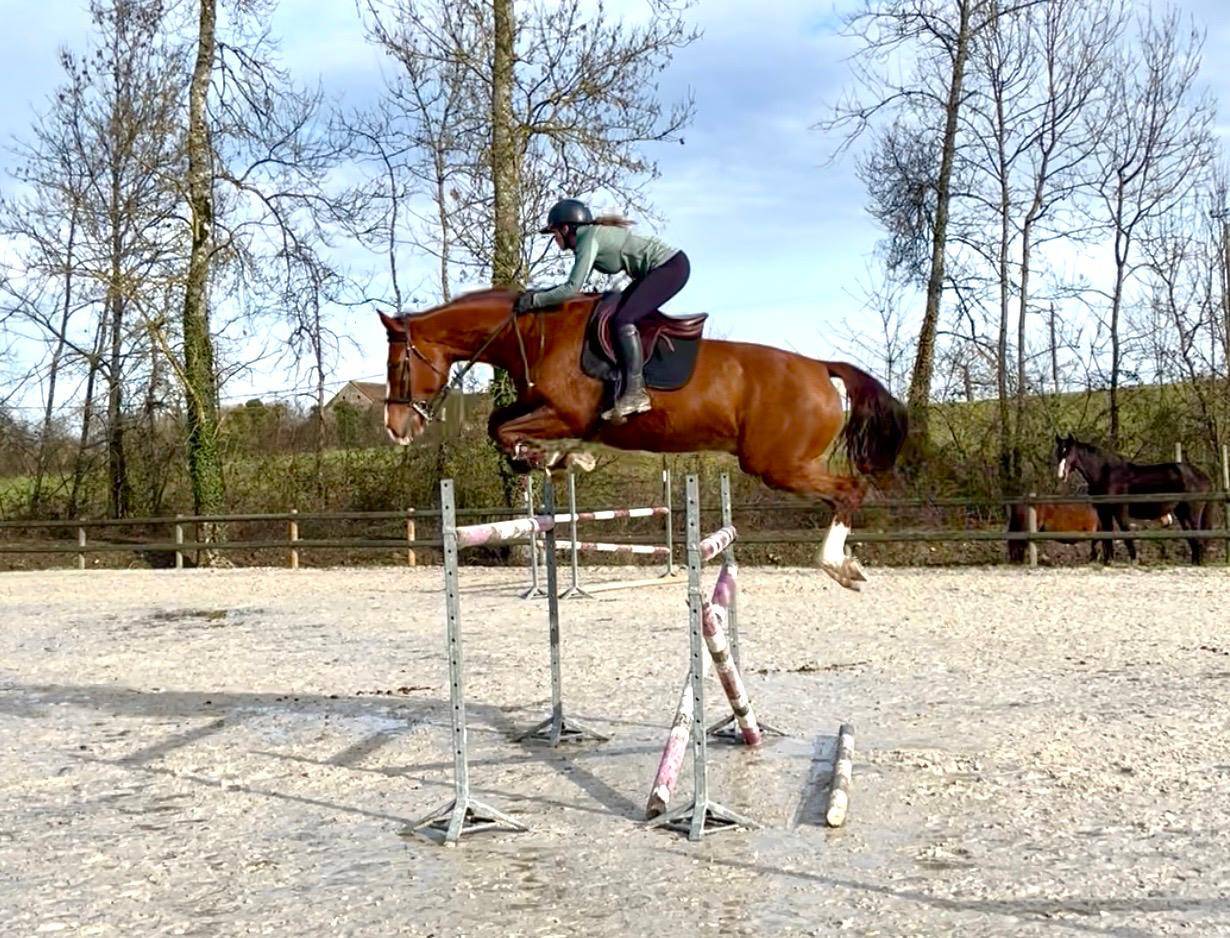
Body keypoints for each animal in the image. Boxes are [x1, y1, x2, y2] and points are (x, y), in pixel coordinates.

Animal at [379, 289, 908, 590]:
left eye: (398, 364)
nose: (396, 428)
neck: (534, 332)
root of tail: (820, 366)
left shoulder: (567, 413)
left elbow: (506, 432)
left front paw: (566, 458)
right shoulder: (543, 408)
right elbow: (498, 426)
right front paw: (562, 459)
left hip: (776, 465)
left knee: (849, 490)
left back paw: (837, 565)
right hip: (784, 464)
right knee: (842, 494)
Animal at [1054, 435, 1213, 564]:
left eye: (1069, 452)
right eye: (1059, 452)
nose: (1061, 475)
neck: (1106, 474)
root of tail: (1203, 476)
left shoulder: (1119, 510)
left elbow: (1125, 532)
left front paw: (1134, 559)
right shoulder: (1104, 512)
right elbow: (1106, 535)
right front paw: (1108, 561)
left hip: (1192, 513)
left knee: (1197, 537)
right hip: (1181, 512)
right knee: (1192, 539)